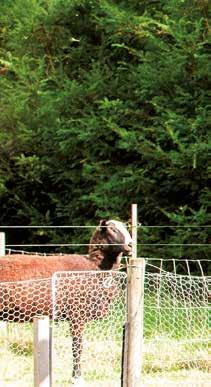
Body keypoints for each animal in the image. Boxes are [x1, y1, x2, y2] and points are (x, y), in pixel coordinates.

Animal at [0, 220, 132, 386]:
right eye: (112, 229)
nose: (131, 245)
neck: (95, 267)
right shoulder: (77, 315)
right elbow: (77, 346)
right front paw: (77, 377)